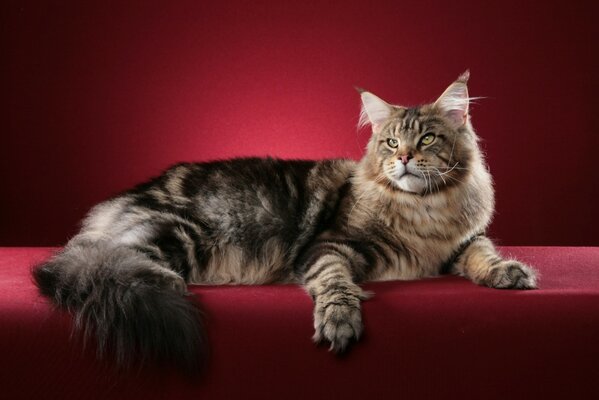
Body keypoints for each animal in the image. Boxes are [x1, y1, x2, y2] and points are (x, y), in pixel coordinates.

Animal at [32, 71, 540, 372]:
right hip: (181, 232)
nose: (406, 159)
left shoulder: (464, 242)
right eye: (392, 143)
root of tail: (116, 203)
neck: (424, 212)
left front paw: (508, 273)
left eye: (429, 139)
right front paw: (340, 320)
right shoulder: (330, 246)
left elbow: (484, 254)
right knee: (87, 263)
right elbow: (335, 284)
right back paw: (163, 281)